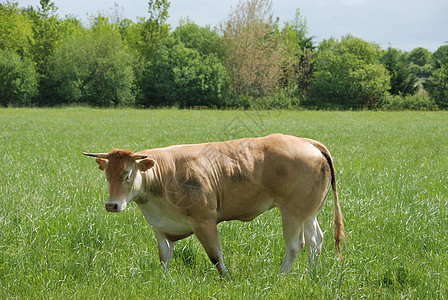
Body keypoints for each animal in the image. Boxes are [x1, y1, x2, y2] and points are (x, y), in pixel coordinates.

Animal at [82, 134, 344, 276]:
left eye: (127, 174)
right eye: (107, 175)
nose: (112, 205)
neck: (164, 175)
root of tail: (307, 142)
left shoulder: (204, 221)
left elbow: (215, 255)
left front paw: (226, 278)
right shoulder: (160, 226)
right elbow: (164, 256)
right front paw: (163, 278)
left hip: (292, 211)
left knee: (295, 245)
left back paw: (281, 275)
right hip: (308, 212)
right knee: (315, 240)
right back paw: (311, 273)